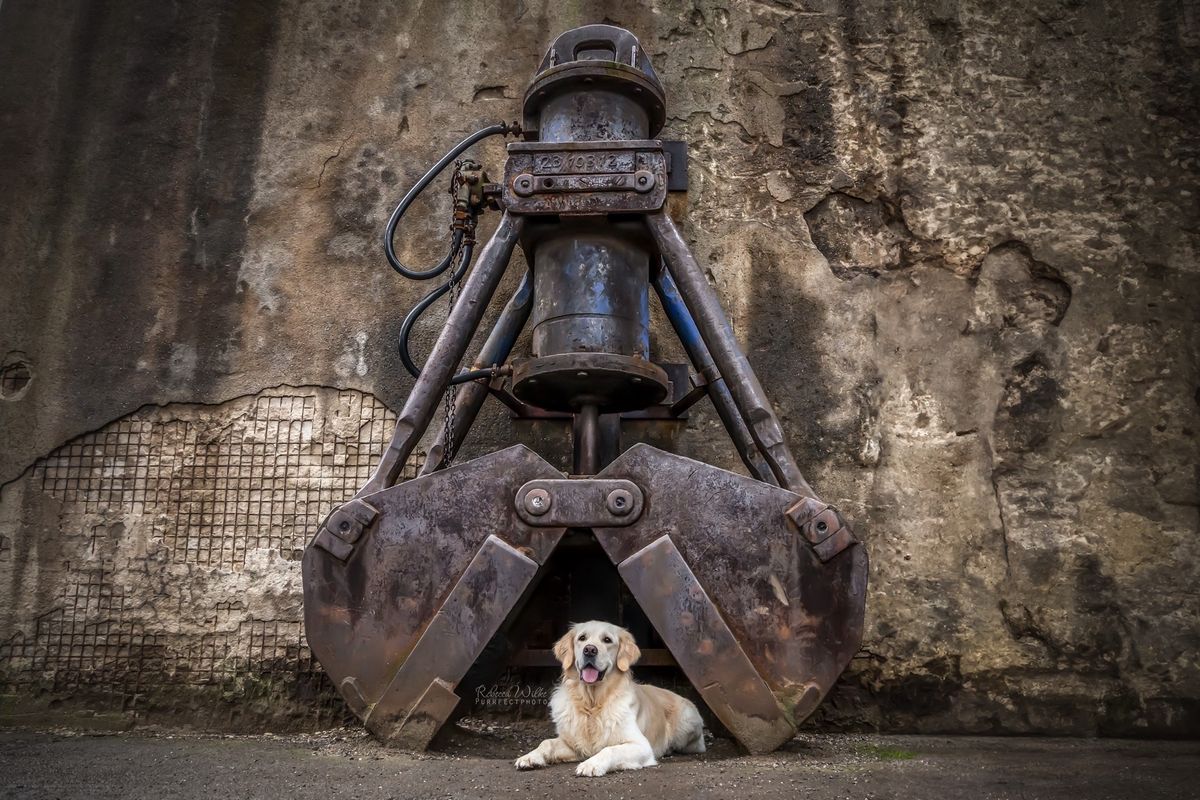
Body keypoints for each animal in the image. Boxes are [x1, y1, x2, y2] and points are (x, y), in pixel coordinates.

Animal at [513, 623, 700, 777]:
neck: (592, 703)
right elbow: (546, 743)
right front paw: (530, 757)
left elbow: (610, 750)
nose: (589, 650)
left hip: (686, 722)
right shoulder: (574, 744)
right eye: (582, 638)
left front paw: (591, 764)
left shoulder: (641, 745)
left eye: (607, 640)